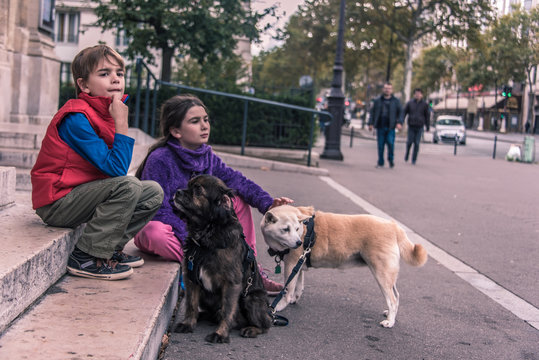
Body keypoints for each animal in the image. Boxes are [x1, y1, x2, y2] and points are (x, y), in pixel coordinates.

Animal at [174, 174, 272, 344]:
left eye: (198, 190)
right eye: (188, 185)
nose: (177, 191)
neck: (206, 238)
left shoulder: (231, 283)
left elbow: (227, 310)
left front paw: (220, 334)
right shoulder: (191, 278)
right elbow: (191, 304)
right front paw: (188, 324)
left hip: (251, 299)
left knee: (265, 325)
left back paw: (251, 329)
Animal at [260, 204, 428, 328]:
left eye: (296, 229)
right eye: (285, 229)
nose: (298, 243)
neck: (305, 230)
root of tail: (393, 226)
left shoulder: (291, 264)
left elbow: (287, 289)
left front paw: (280, 305)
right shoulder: (298, 267)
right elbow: (298, 287)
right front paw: (294, 299)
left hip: (381, 273)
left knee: (392, 299)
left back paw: (390, 322)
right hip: (388, 275)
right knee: (397, 296)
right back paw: (390, 315)